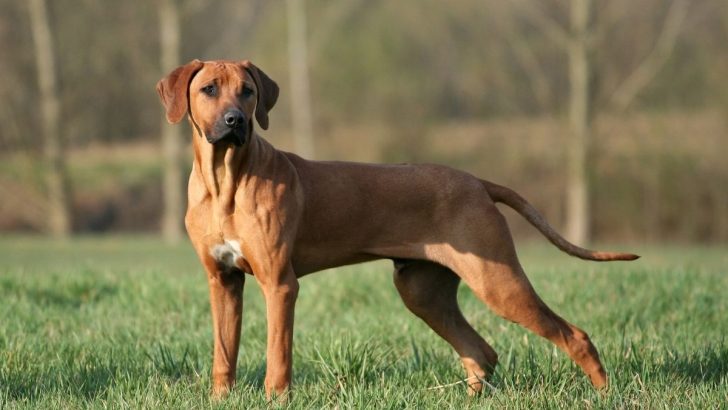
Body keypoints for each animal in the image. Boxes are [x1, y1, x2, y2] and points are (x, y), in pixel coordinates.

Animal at [155, 59, 636, 398]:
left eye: (248, 91)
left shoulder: (280, 283)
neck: (225, 181)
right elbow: (223, 354)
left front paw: (276, 399)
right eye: (209, 89)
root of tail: (478, 182)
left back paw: (604, 394)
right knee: (481, 352)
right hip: (422, 291)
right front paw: (220, 398)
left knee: (573, 336)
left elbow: (278, 356)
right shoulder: (222, 281)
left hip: (497, 282)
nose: (236, 120)